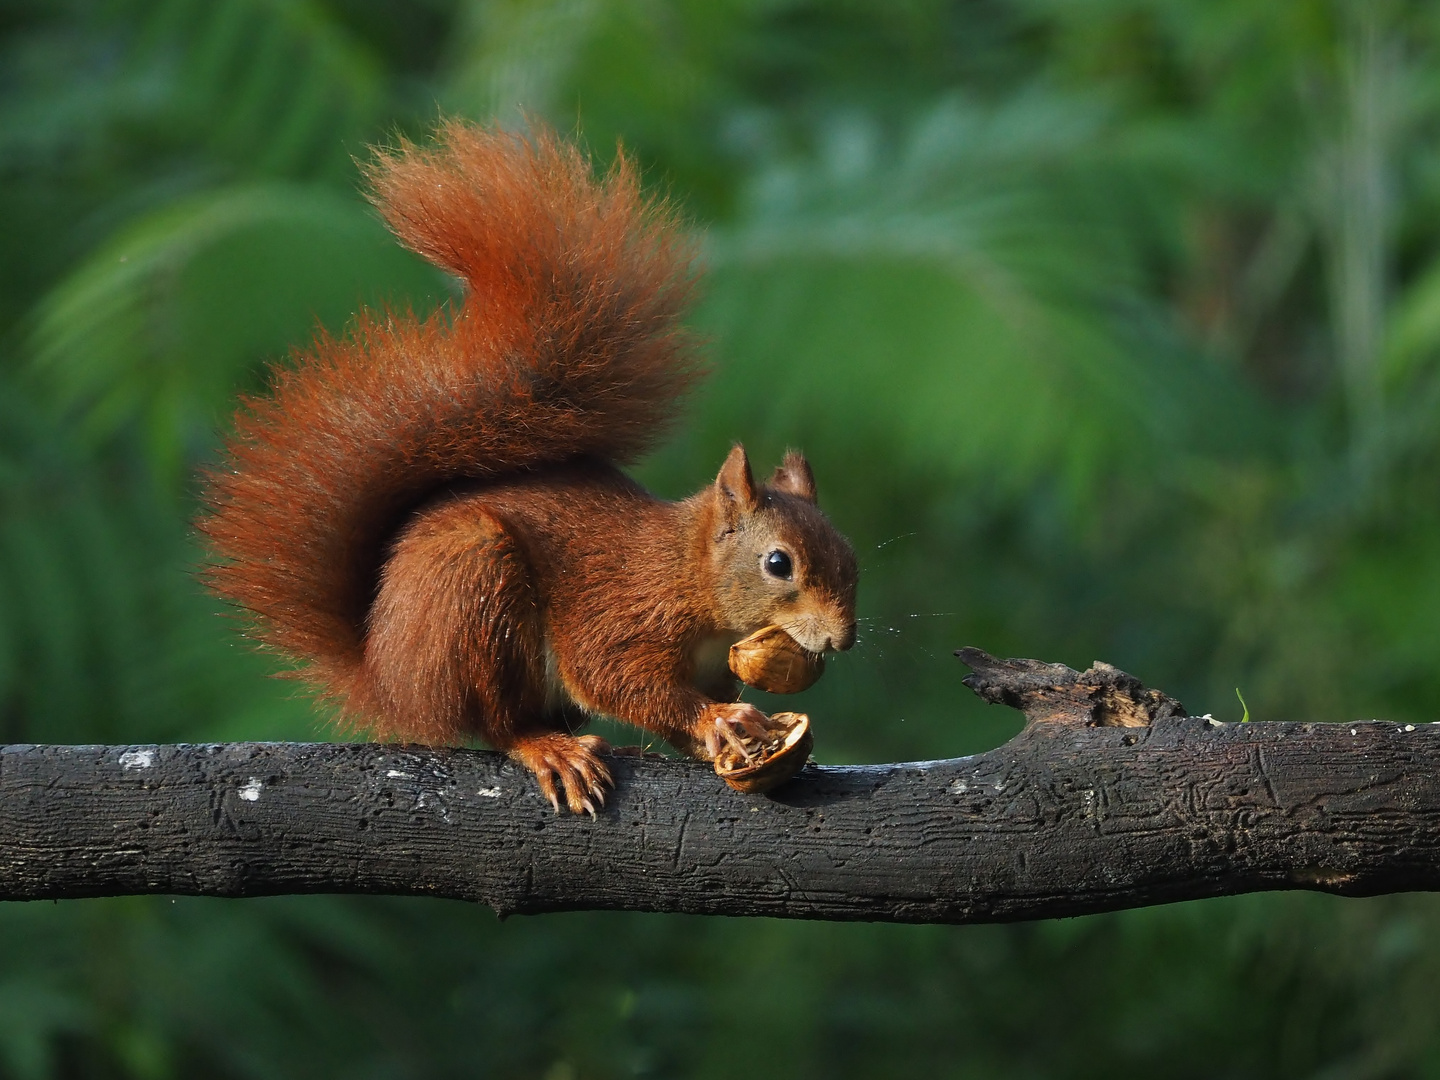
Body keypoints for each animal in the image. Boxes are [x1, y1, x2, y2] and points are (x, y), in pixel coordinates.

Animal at [200, 120, 852, 812]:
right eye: (778, 563)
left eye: (850, 555)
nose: (843, 639)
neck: (686, 576)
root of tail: (388, 682)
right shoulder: (620, 611)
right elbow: (614, 677)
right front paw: (720, 720)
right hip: (472, 589)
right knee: (496, 722)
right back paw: (549, 749)